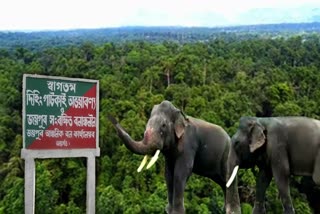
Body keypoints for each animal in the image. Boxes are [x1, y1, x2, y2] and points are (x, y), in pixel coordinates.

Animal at [108, 100, 240, 214]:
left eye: (163, 125)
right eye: (147, 124)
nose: (112, 118)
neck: (179, 114)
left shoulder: (188, 145)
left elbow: (180, 172)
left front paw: (177, 212)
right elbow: (168, 174)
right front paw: (168, 211)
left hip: (227, 156)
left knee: (229, 179)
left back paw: (232, 211)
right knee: (223, 182)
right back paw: (225, 209)